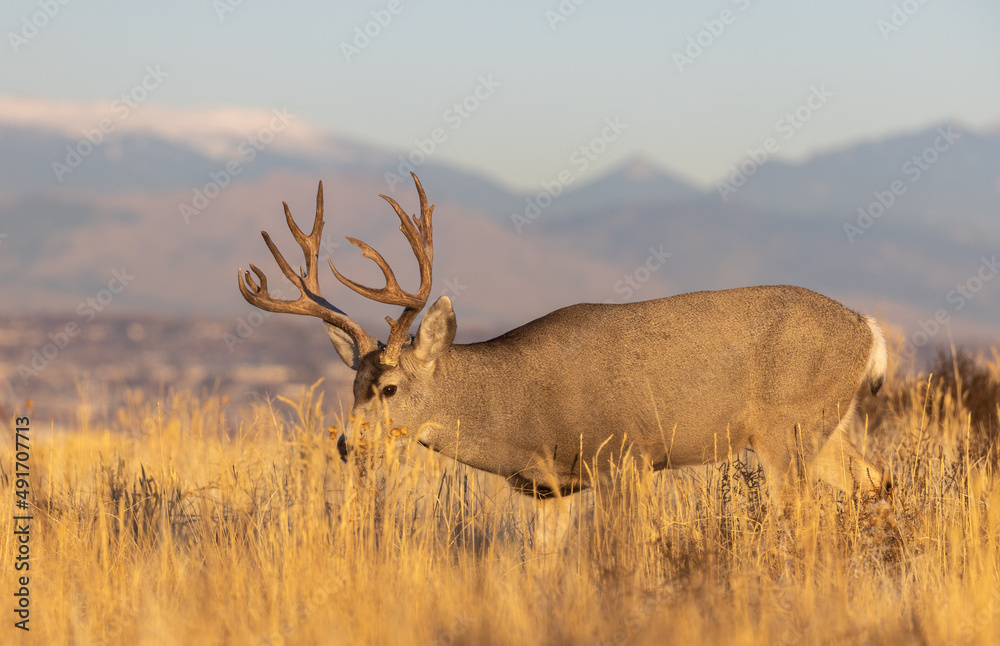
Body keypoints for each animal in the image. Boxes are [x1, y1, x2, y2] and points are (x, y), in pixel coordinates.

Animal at [238, 173, 892, 550]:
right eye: (353, 384)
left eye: (391, 388)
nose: (349, 445)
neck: (519, 409)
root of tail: (868, 327)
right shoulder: (550, 490)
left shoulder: (624, 457)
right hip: (824, 428)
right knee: (875, 482)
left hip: (788, 428)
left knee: (805, 513)